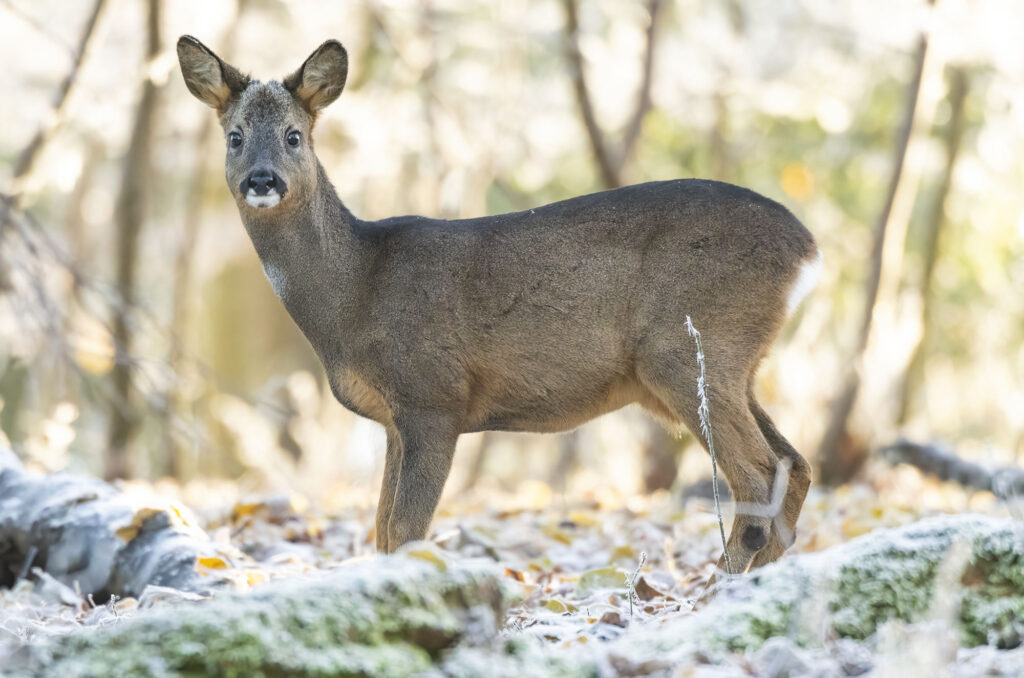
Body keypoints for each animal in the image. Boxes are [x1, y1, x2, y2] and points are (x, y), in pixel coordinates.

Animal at [172, 35, 819, 573]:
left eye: (294, 135)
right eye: (234, 136)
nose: (261, 180)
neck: (356, 292)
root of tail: (807, 249)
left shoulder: (435, 396)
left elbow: (404, 530)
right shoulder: (395, 420)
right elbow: (381, 529)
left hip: (687, 347)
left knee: (760, 475)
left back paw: (717, 586)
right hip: (734, 364)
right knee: (795, 465)